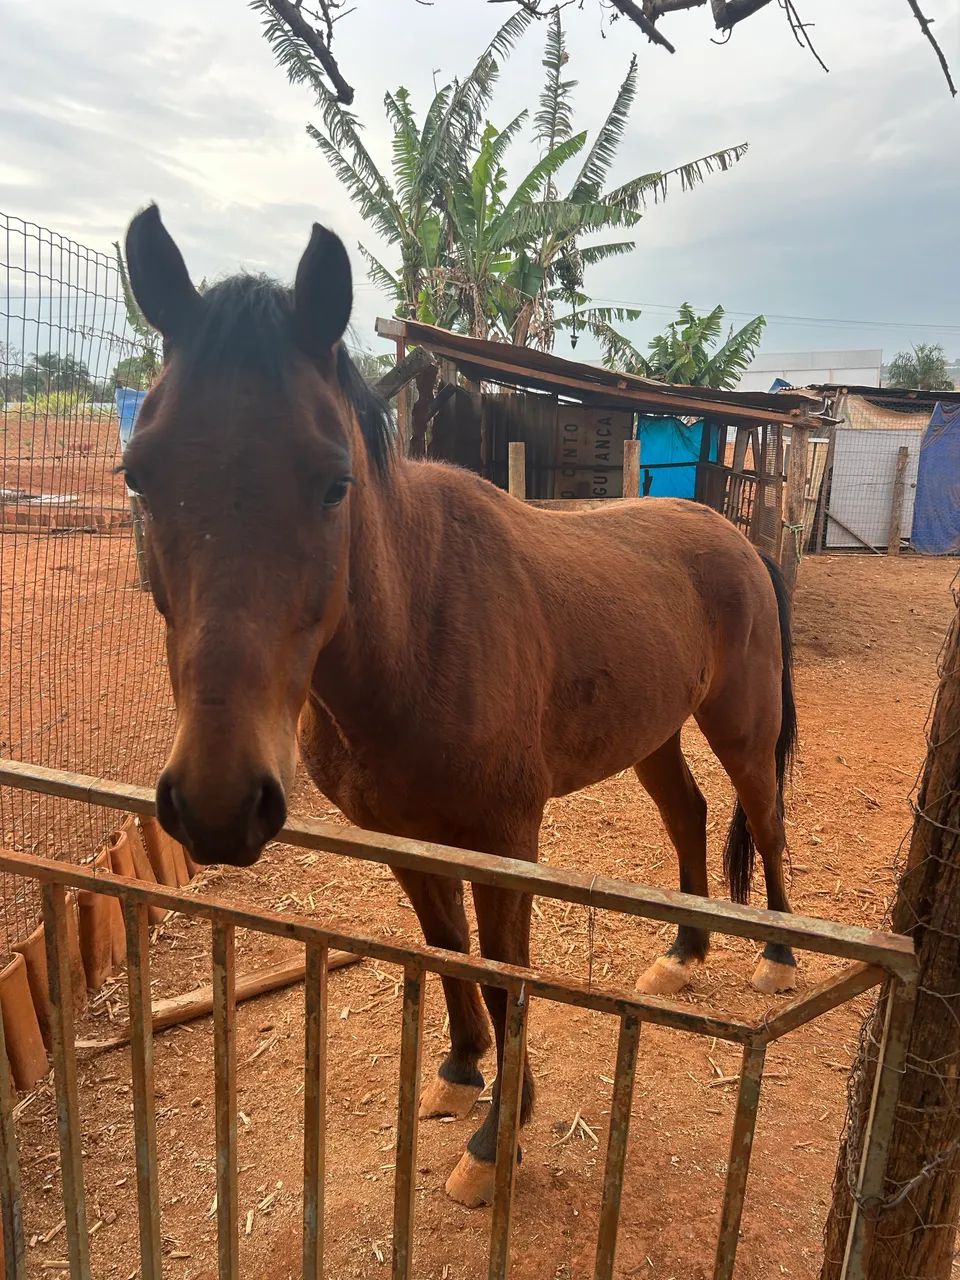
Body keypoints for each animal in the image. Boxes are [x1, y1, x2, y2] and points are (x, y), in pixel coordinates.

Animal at [122, 205, 798, 1208]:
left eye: (334, 482)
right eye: (138, 475)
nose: (217, 802)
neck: (417, 628)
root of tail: (736, 536)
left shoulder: (506, 843)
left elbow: (505, 971)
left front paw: (496, 1139)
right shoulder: (406, 840)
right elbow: (446, 951)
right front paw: (461, 1072)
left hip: (741, 726)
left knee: (765, 815)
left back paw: (778, 958)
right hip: (655, 737)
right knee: (689, 814)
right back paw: (682, 953)